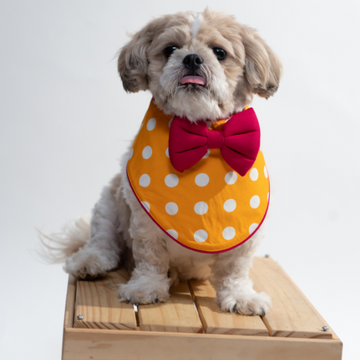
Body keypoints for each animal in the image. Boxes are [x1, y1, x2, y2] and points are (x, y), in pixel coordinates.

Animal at [51, 9, 282, 316]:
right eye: (171, 49)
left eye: (219, 52)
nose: (192, 58)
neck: (202, 135)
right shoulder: (144, 219)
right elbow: (150, 257)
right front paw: (146, 288)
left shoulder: (246, 230)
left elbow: (236, 267)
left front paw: (241, 296)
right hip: (108, 203)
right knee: (103, 242)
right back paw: (90, 262)